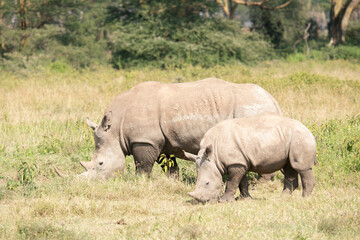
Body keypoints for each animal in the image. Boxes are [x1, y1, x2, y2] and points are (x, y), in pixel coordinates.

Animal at [81, 78, 282, 179]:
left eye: (101, 164)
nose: (88, 182)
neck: (116, 129)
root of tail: (272, 99)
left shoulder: (145, 140)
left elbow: (143, 165)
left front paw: (140, 182)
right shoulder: (162, 141)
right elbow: (169, 165)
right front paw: (173, 182)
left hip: (252, 107)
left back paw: (261, 183)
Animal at [184, 113, 316, 202]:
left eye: (207, 183)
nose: (203, 202)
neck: (214, 157)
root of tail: (308, 130)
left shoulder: (235, 162)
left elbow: (232, 182)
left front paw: (224, 201)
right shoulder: (240, 162)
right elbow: (241, 182)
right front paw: (245, 199)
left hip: (300, 138)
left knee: (302, 168)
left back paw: (305, 199)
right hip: (291, 139)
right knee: (289, 166)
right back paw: (282, 198)